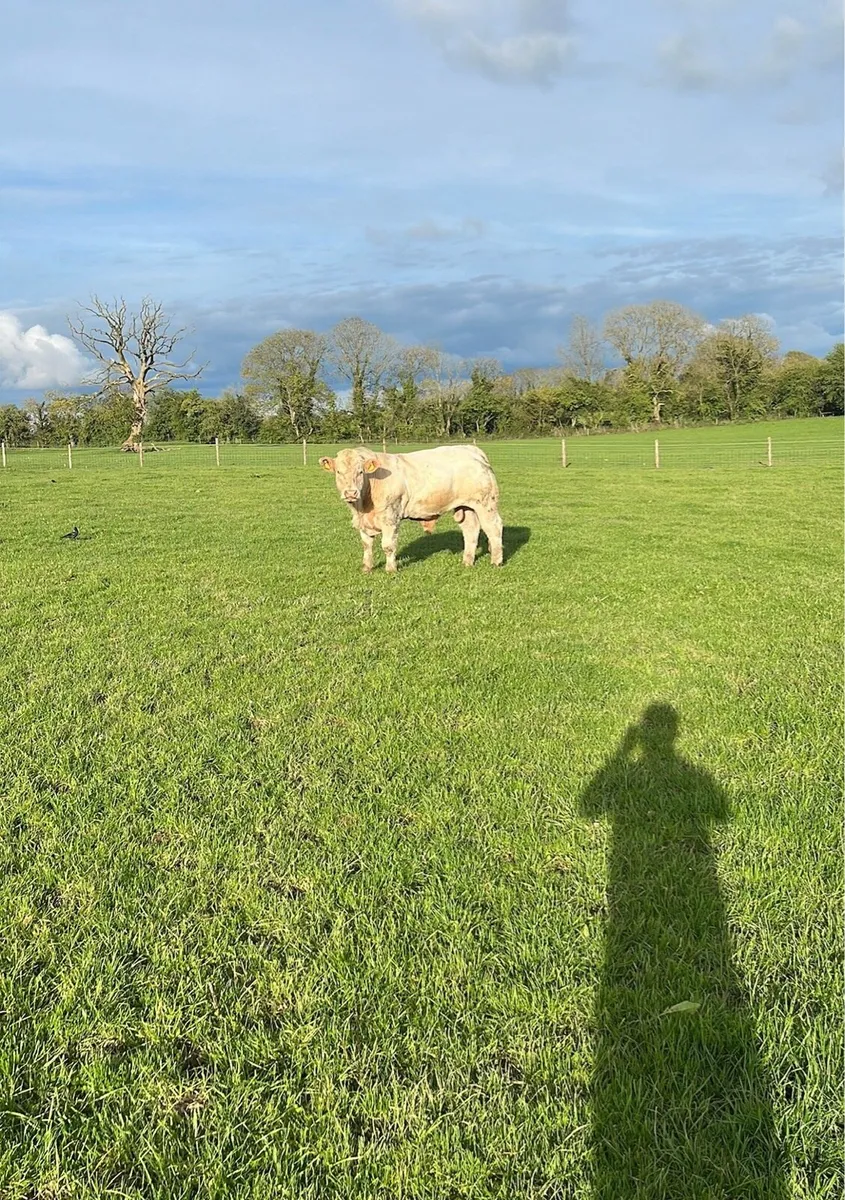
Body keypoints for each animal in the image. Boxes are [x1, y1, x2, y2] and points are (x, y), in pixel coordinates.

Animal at [319, 445, 504, 573]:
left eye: (360, 472)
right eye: (338, 472)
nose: (351, 493)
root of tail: (472, 450)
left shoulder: (390, 518)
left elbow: (388, 546)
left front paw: (391, 569)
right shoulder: (363, 522)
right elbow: (366, 545)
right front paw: (367, 568)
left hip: (486, 504)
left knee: (493, 528)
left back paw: (496, 561)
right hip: (466, 507)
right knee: (470, 531)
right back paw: (467, 562)